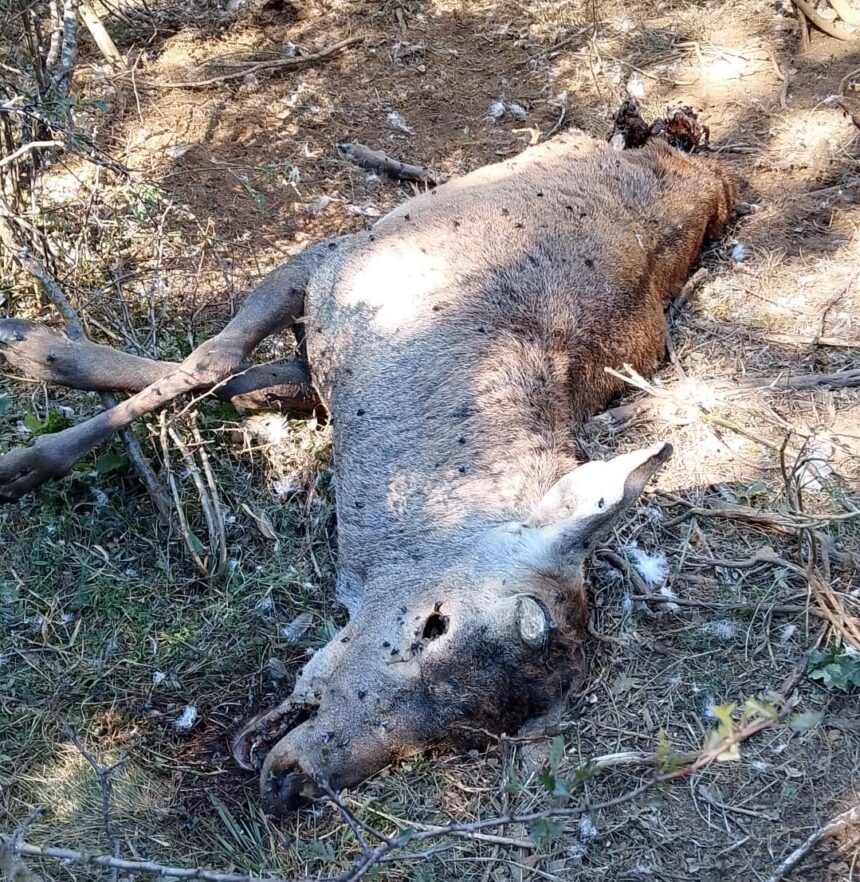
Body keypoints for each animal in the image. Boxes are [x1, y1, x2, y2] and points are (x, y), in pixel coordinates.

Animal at [0, 109, 735, 814]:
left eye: (472, 732)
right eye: (433, 623)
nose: (294, 781)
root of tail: (702, 167)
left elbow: (233, 378)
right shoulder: (331, 259)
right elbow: (215, 362)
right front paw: (28, 431)